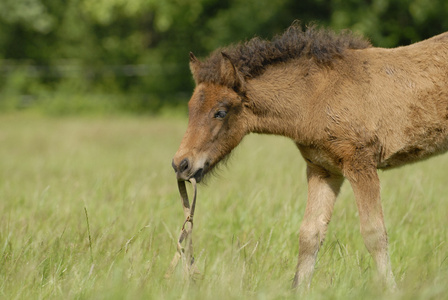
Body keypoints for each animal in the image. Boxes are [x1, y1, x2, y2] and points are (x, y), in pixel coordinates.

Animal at [171, 23, 448, 288]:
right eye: (190, 108)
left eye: (220, 112)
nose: (180, 164)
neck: (316, 98)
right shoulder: (323, 170)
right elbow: (309, 235)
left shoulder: (361, 164)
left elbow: (374, 234)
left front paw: (390, 289)